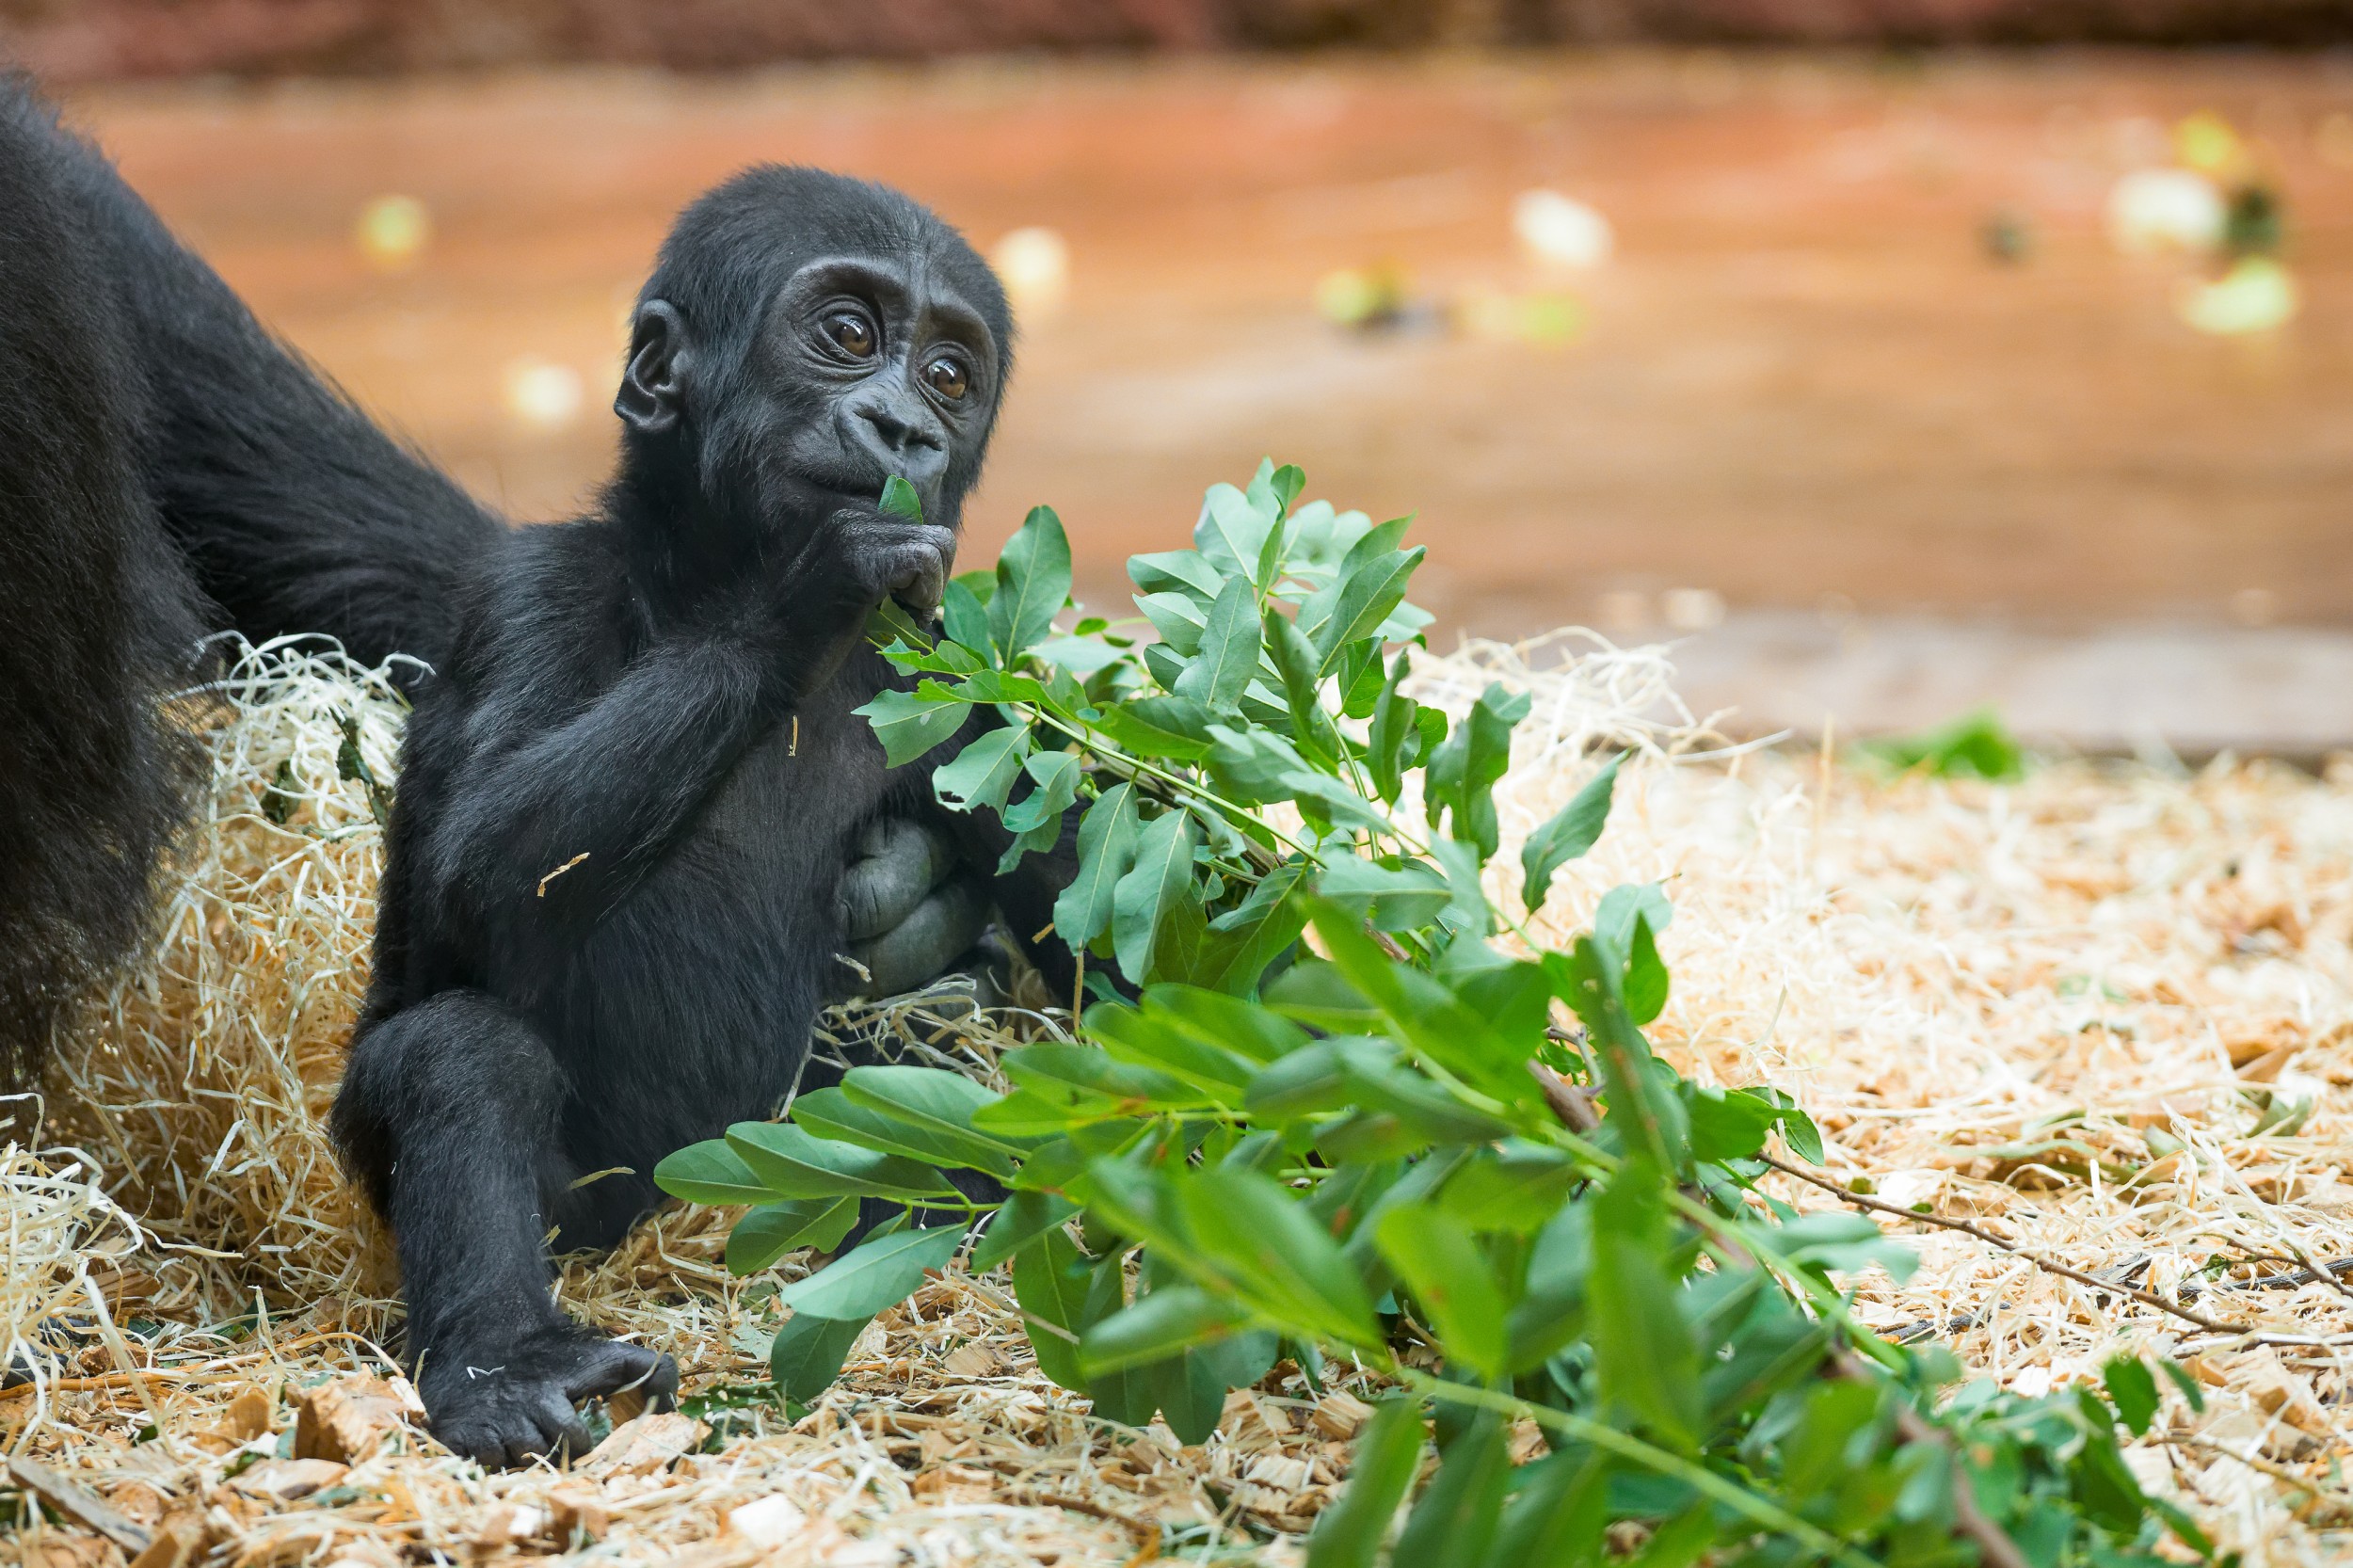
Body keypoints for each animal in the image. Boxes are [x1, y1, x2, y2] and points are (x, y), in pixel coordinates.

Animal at [334, 165, 1078, 1459]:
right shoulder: (529, 589)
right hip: (591, 1213)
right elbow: (484, 870)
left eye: (949, 373)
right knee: (460, 1057)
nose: (907, 429)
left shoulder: (979, 692)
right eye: (848, 336)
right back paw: (512, 1367)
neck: (696, 569)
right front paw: (812, 588)